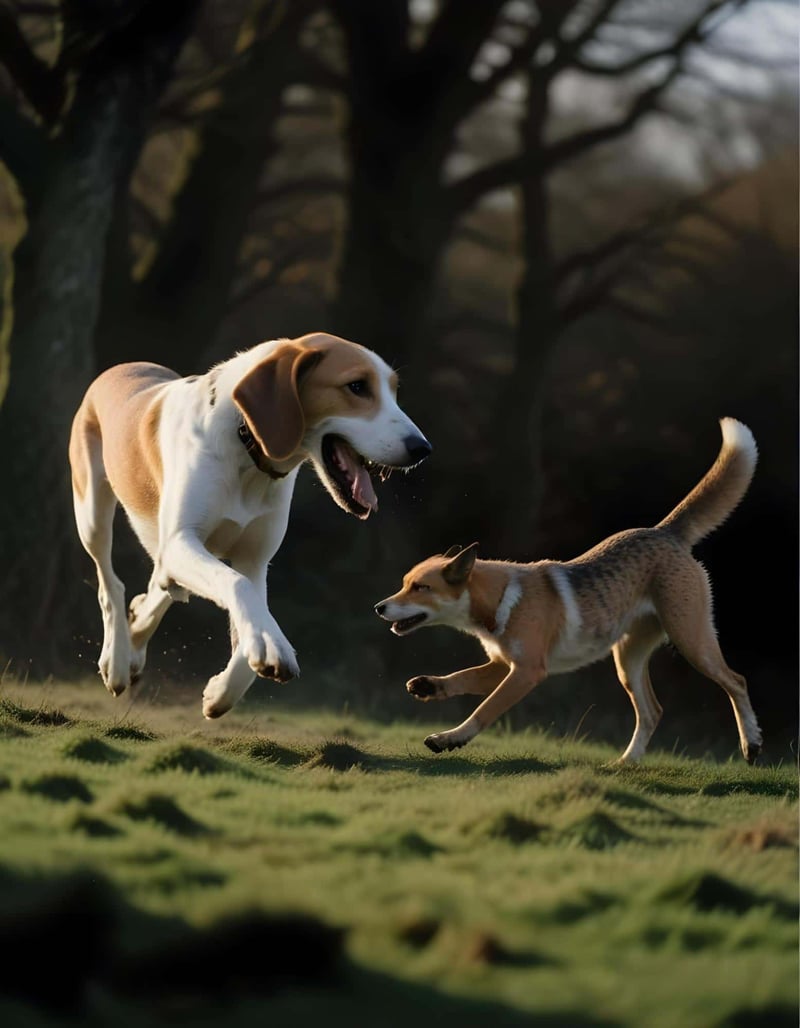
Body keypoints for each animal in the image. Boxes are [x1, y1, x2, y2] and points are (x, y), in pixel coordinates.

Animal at [375, 418, 762, 764]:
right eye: (404, 584)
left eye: (421, 587)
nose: (379, 607)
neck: (500, 602)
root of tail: (665, 531)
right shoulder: (503, 664)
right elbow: (461, 678)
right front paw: (428, 687)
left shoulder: (528, 670)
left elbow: (484, 710)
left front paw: (449, 739)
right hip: (628, 659)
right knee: (653, 710)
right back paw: (625, 764)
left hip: (691, 640)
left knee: (737, 681)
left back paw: (751, 744)